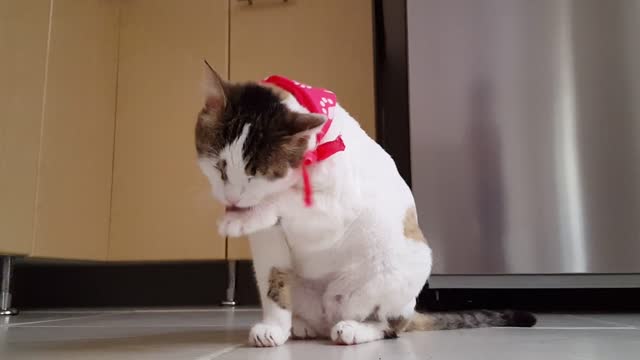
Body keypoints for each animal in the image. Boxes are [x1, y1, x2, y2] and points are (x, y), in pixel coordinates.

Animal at [195, 63, 536, 348]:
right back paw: (302, 325)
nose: (232, 199)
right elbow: (273, 281)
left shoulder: (336, 208)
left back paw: (355, 329)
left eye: (256, 175)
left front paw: (242, 217)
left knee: (391, 325)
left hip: (400, 271)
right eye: (220, 167)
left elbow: (287, 200)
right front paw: (274, 328)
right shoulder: (269, 241)